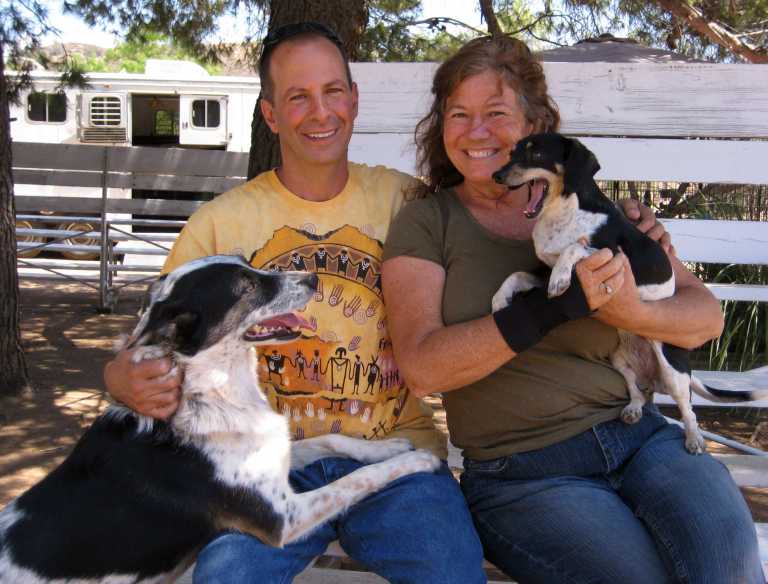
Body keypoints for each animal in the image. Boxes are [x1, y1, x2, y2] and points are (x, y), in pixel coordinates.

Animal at [0, 256, 438, 584]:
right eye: (246, 286)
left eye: (249, 262)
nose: (313, 277)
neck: (216, 390)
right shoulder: (282, 519)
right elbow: (357, 480)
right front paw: (416, 460)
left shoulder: (274, 455)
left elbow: (332, 441)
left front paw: (389, 446)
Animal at [492, 135, 768, 454]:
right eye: (512, 152)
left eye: (536, 153)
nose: (496, 176)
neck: (565, 213)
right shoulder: (542, 269)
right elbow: (516, 275)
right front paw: (499, 300)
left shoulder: (612, 256)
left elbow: (574, 248)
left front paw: (561, 279)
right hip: (619, 361)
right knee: (637, 392)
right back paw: (634, 409)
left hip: (673, 371)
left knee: (688, 410)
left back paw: (693, 438)